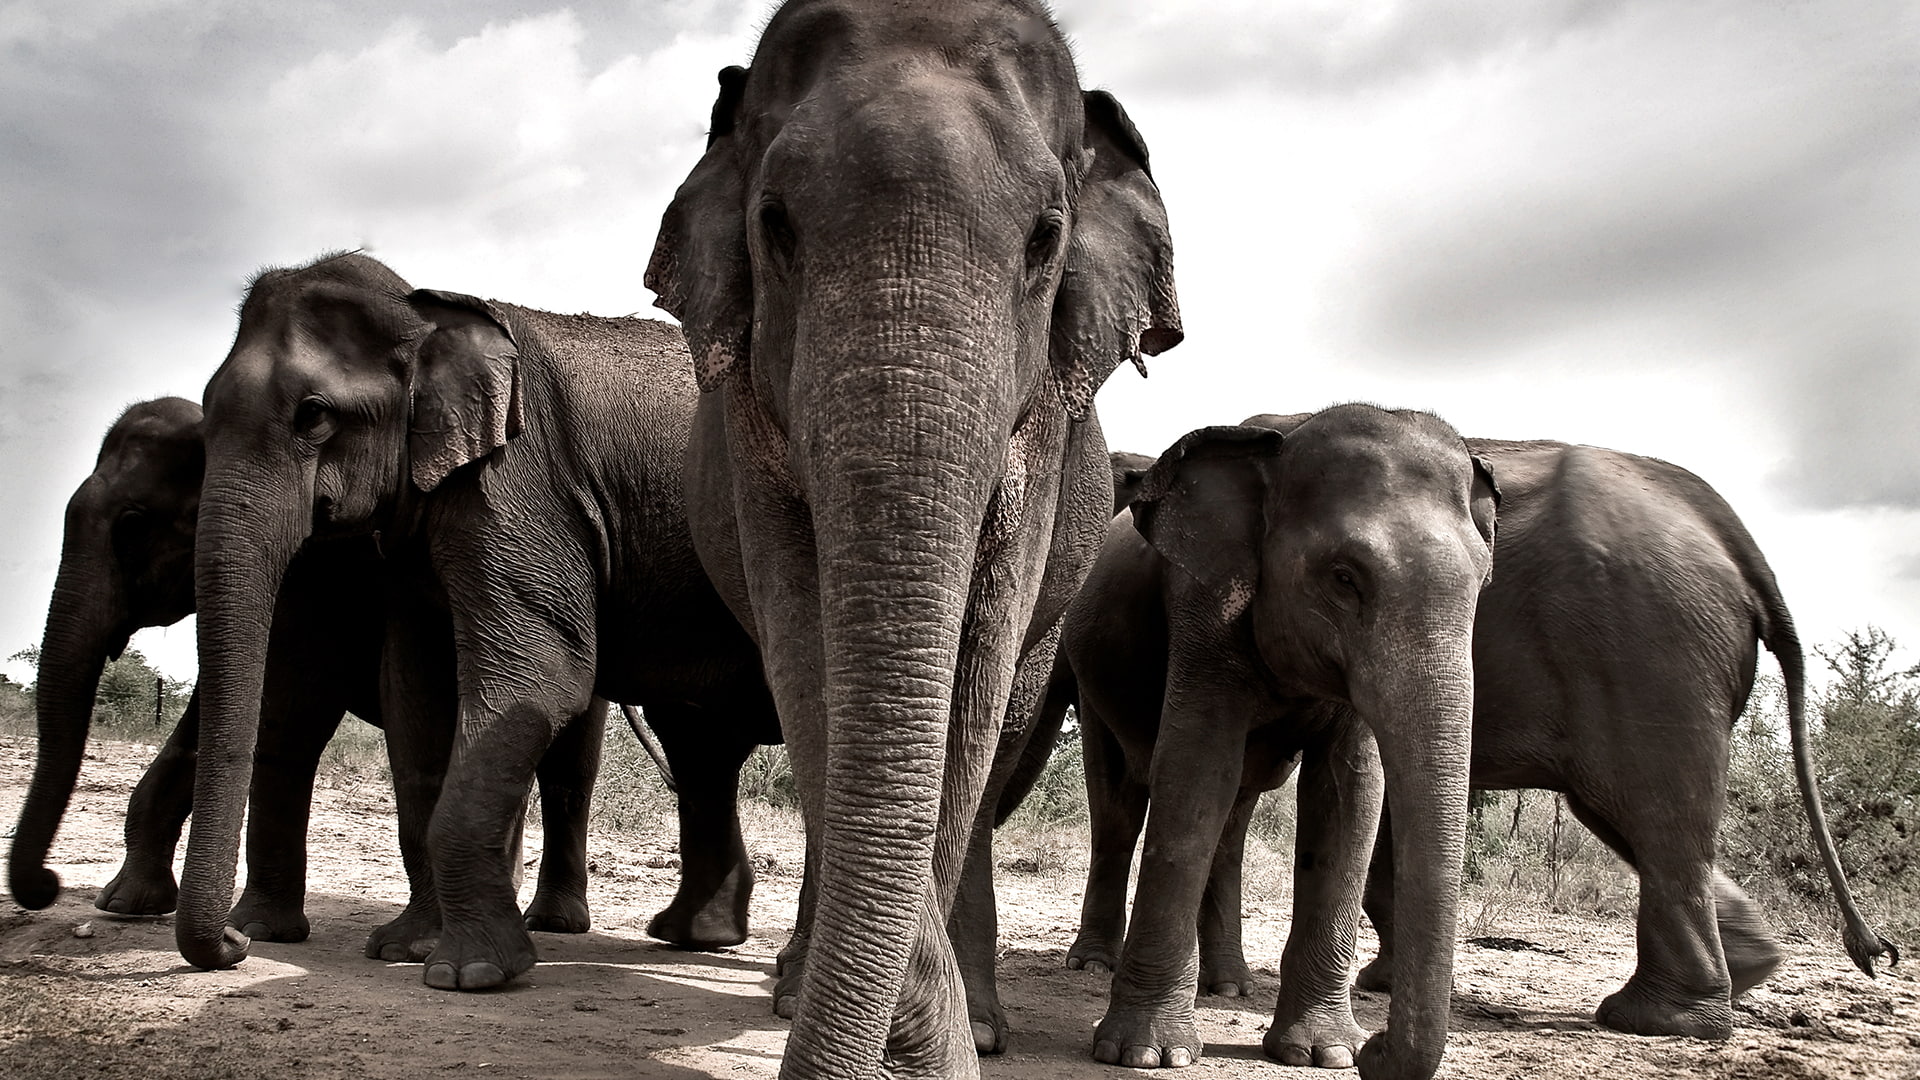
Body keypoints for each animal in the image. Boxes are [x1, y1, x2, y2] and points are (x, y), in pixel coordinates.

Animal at [176, 251, 780, 991]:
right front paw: (403, 948)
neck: (429, 313)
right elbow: (418, 693)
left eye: (313, 416)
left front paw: (469, 974)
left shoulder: (518, 489)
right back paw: (695, 937)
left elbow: (540, 676)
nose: (233, 945)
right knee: (700, 747)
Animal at [644, 1, 1183, 1074]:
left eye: (1045, 239)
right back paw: (797, 986)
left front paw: (940, 1036)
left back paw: (975, 1020)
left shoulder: (1042, 435)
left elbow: (982, 651)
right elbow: (803, 641)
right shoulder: (749, 426)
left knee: (998, 736)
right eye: (775, 225)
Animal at [1065, 411, 1898, 1046]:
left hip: (1655, 659)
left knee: (1652, 818)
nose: (1381, 1049)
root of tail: (1736, 537)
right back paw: (1722, 987)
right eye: (1341, 580)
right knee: (1647, 821)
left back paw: (1660, 1018)